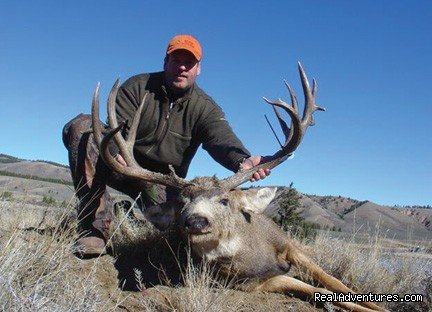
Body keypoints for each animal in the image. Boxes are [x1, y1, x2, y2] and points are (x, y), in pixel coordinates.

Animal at [90, 64, 384, 312]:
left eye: (224, 200)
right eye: (182, 203)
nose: (195, 221)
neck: (252, 255)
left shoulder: (289, 244)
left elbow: (336, 283)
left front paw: (380, 305)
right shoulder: (258, 283)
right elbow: (319, 291)